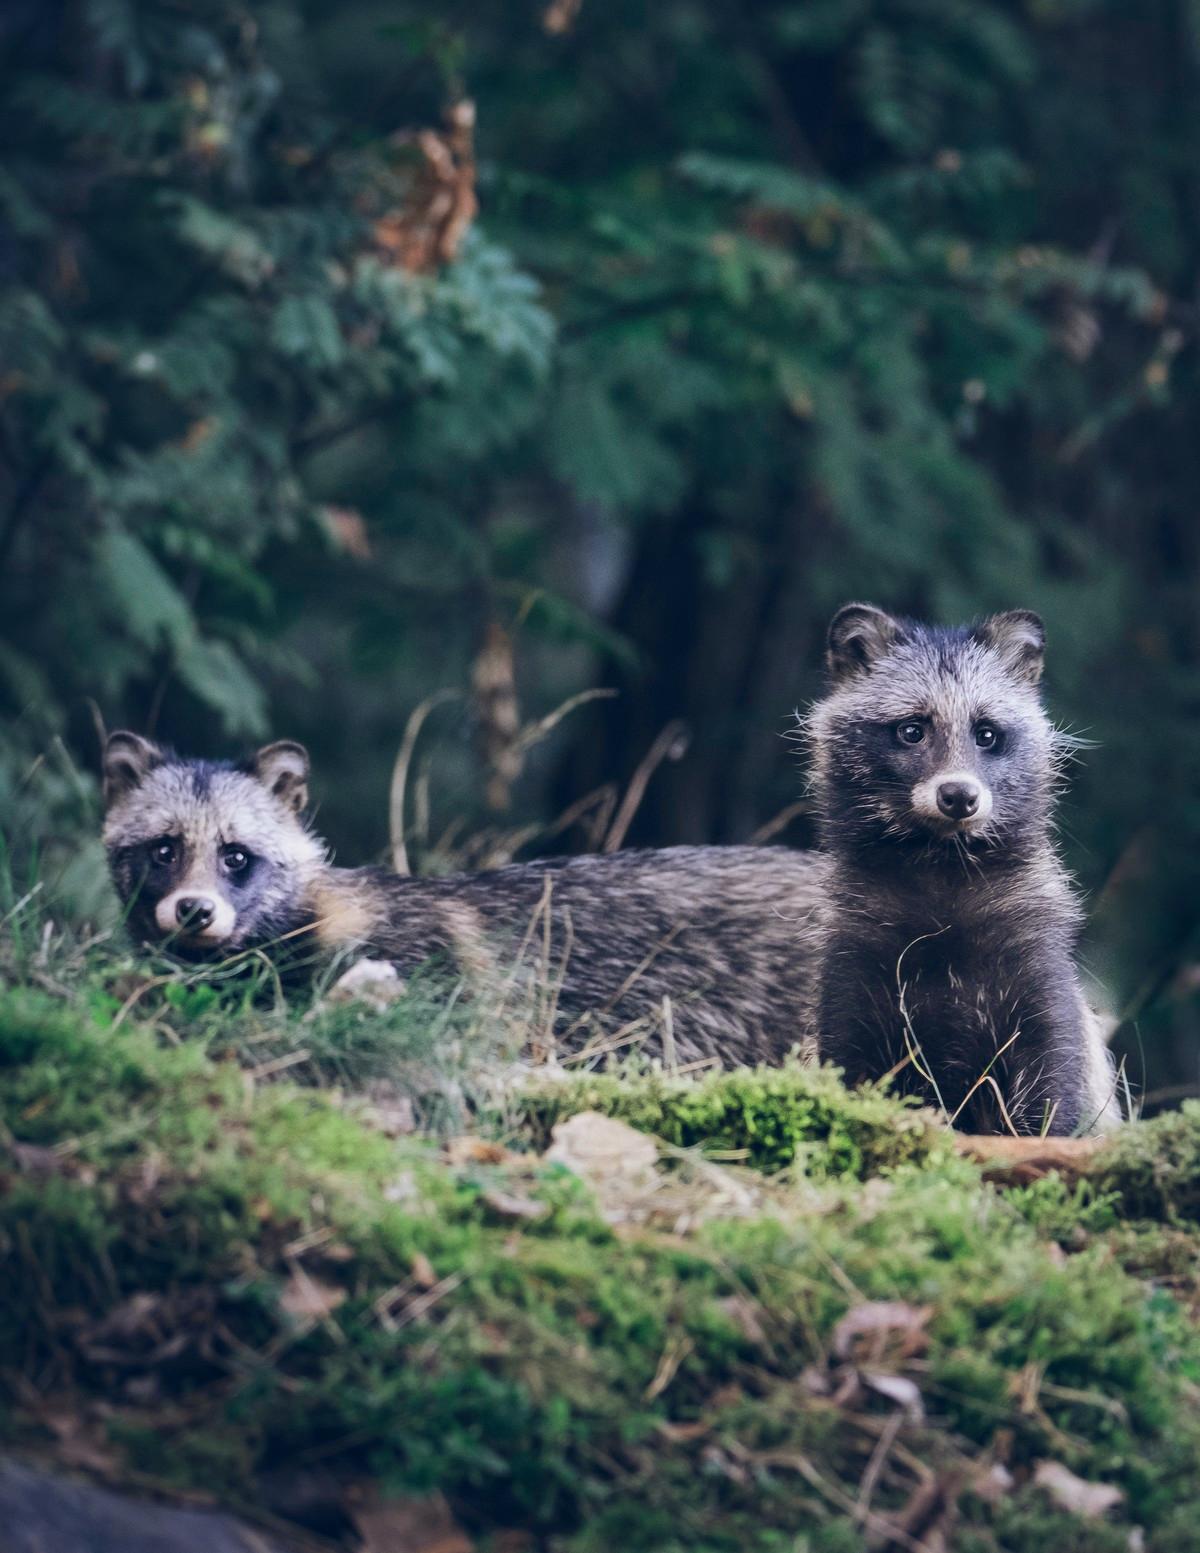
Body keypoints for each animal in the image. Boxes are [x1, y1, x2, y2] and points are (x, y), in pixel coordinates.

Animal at [807, 599, 1123, 1136]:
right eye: (911, 730)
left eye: (987, 734)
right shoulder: (854, 955)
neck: (942, 862)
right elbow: (848, 1056)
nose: (959, 796)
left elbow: (1052, 1068)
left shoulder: (1036, 959)